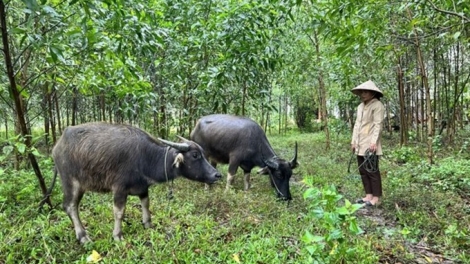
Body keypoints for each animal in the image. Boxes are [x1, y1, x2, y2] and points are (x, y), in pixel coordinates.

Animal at [51, 121, 222, 243]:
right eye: (195, 155)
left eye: (203, 153)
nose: (217, 175)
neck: (145, 157)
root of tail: (58, 145)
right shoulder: (119, 189)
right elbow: (119, 212)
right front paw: (117, 235)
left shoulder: (142, 188)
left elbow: (146, 204)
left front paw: (148, 223)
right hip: (71, 183)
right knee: (70, 206)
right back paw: (83, 236)